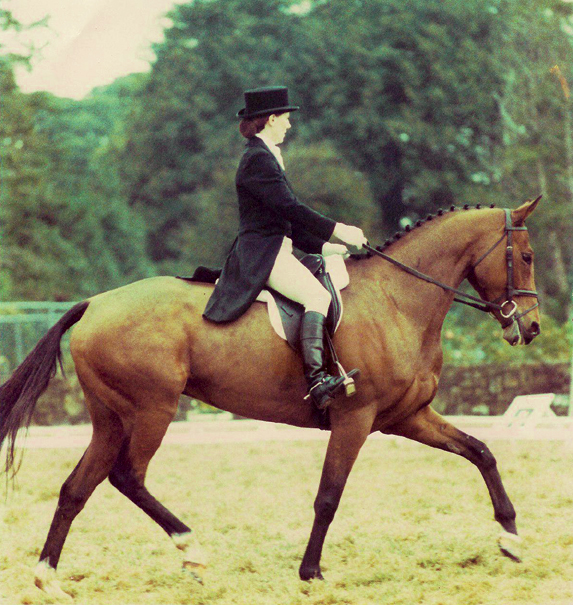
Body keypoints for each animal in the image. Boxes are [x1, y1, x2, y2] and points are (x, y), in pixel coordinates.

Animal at [0, 198, 541, 599]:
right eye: (527, 257)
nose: (532, 328)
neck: (397, 300)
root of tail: (95, 303)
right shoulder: (355, 417)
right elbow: (328, 495)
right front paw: (311, 573)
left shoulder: (407, 416)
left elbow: (480, 451)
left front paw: (512, 540)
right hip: (153, 409)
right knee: (127, 477)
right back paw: (192, 549)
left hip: (110, 418)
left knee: (76, 488)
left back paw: (47, 579)